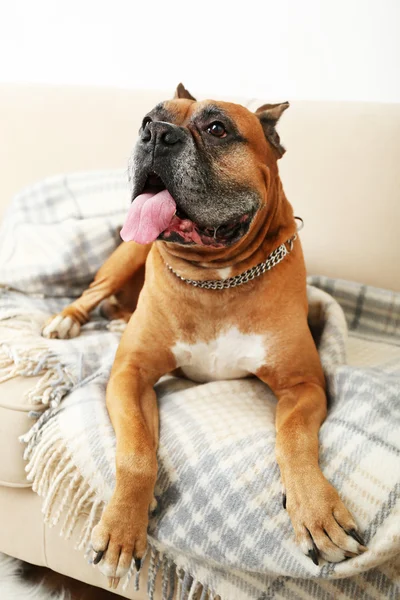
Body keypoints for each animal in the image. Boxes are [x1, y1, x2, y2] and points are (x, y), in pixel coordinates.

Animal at [41, 82, 366, 588]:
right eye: (146, 118)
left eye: (217, 128)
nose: (155, 133)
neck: (216, 280)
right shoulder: (130, 375)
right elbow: (136, 452)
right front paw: (123, 526)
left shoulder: (304, 385)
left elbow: (294, 437)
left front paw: (317, 512)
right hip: (124, 256)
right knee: (94, 292)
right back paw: (67, 319)